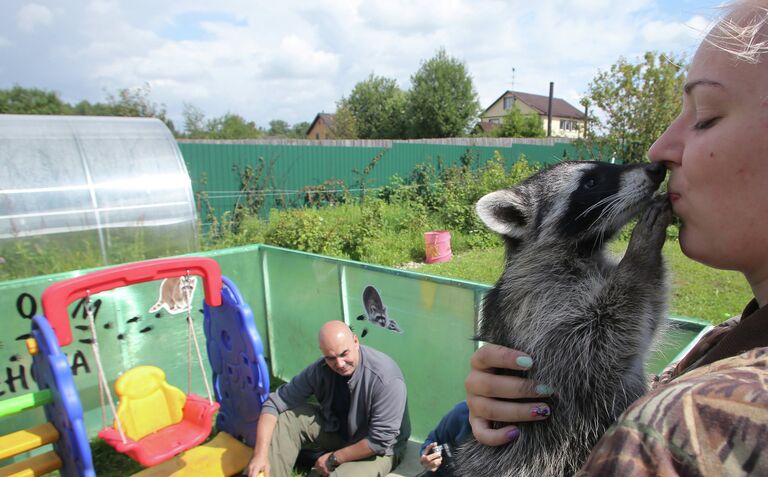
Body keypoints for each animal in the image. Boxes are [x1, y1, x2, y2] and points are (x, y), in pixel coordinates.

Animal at [456, 161, 672, 476]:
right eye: (590, 183)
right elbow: (587, 354)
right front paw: (639, 259)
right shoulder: (535, 304)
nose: (656, 168)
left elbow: (644, 319)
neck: (585, 249)